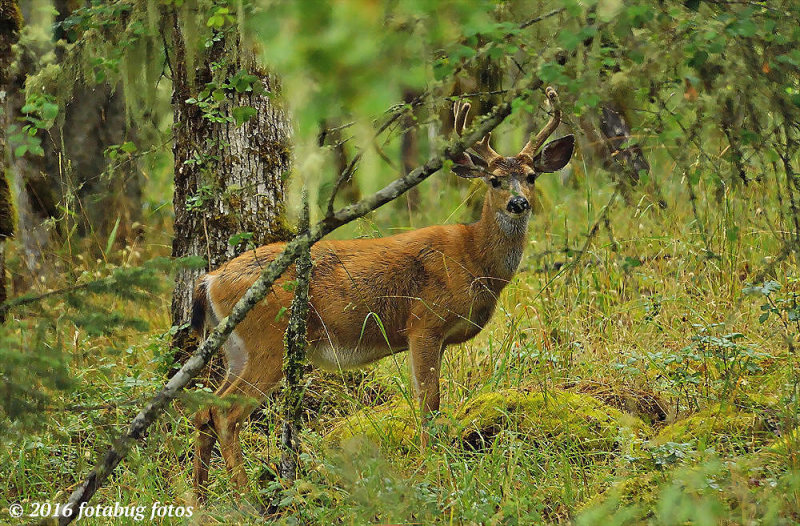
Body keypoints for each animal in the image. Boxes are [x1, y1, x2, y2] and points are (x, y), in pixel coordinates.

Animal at [190, 86, 572, 500]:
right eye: (495, 180)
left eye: (531, 176)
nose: (520, 203)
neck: (474, 259)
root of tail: (210, 279)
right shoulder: (424, 322)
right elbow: (429, 402)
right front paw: (431, 471)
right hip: (269, 340)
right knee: (225, 414)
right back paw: (246, 497)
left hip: (236, 347)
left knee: (204, 409)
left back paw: (200, 497)